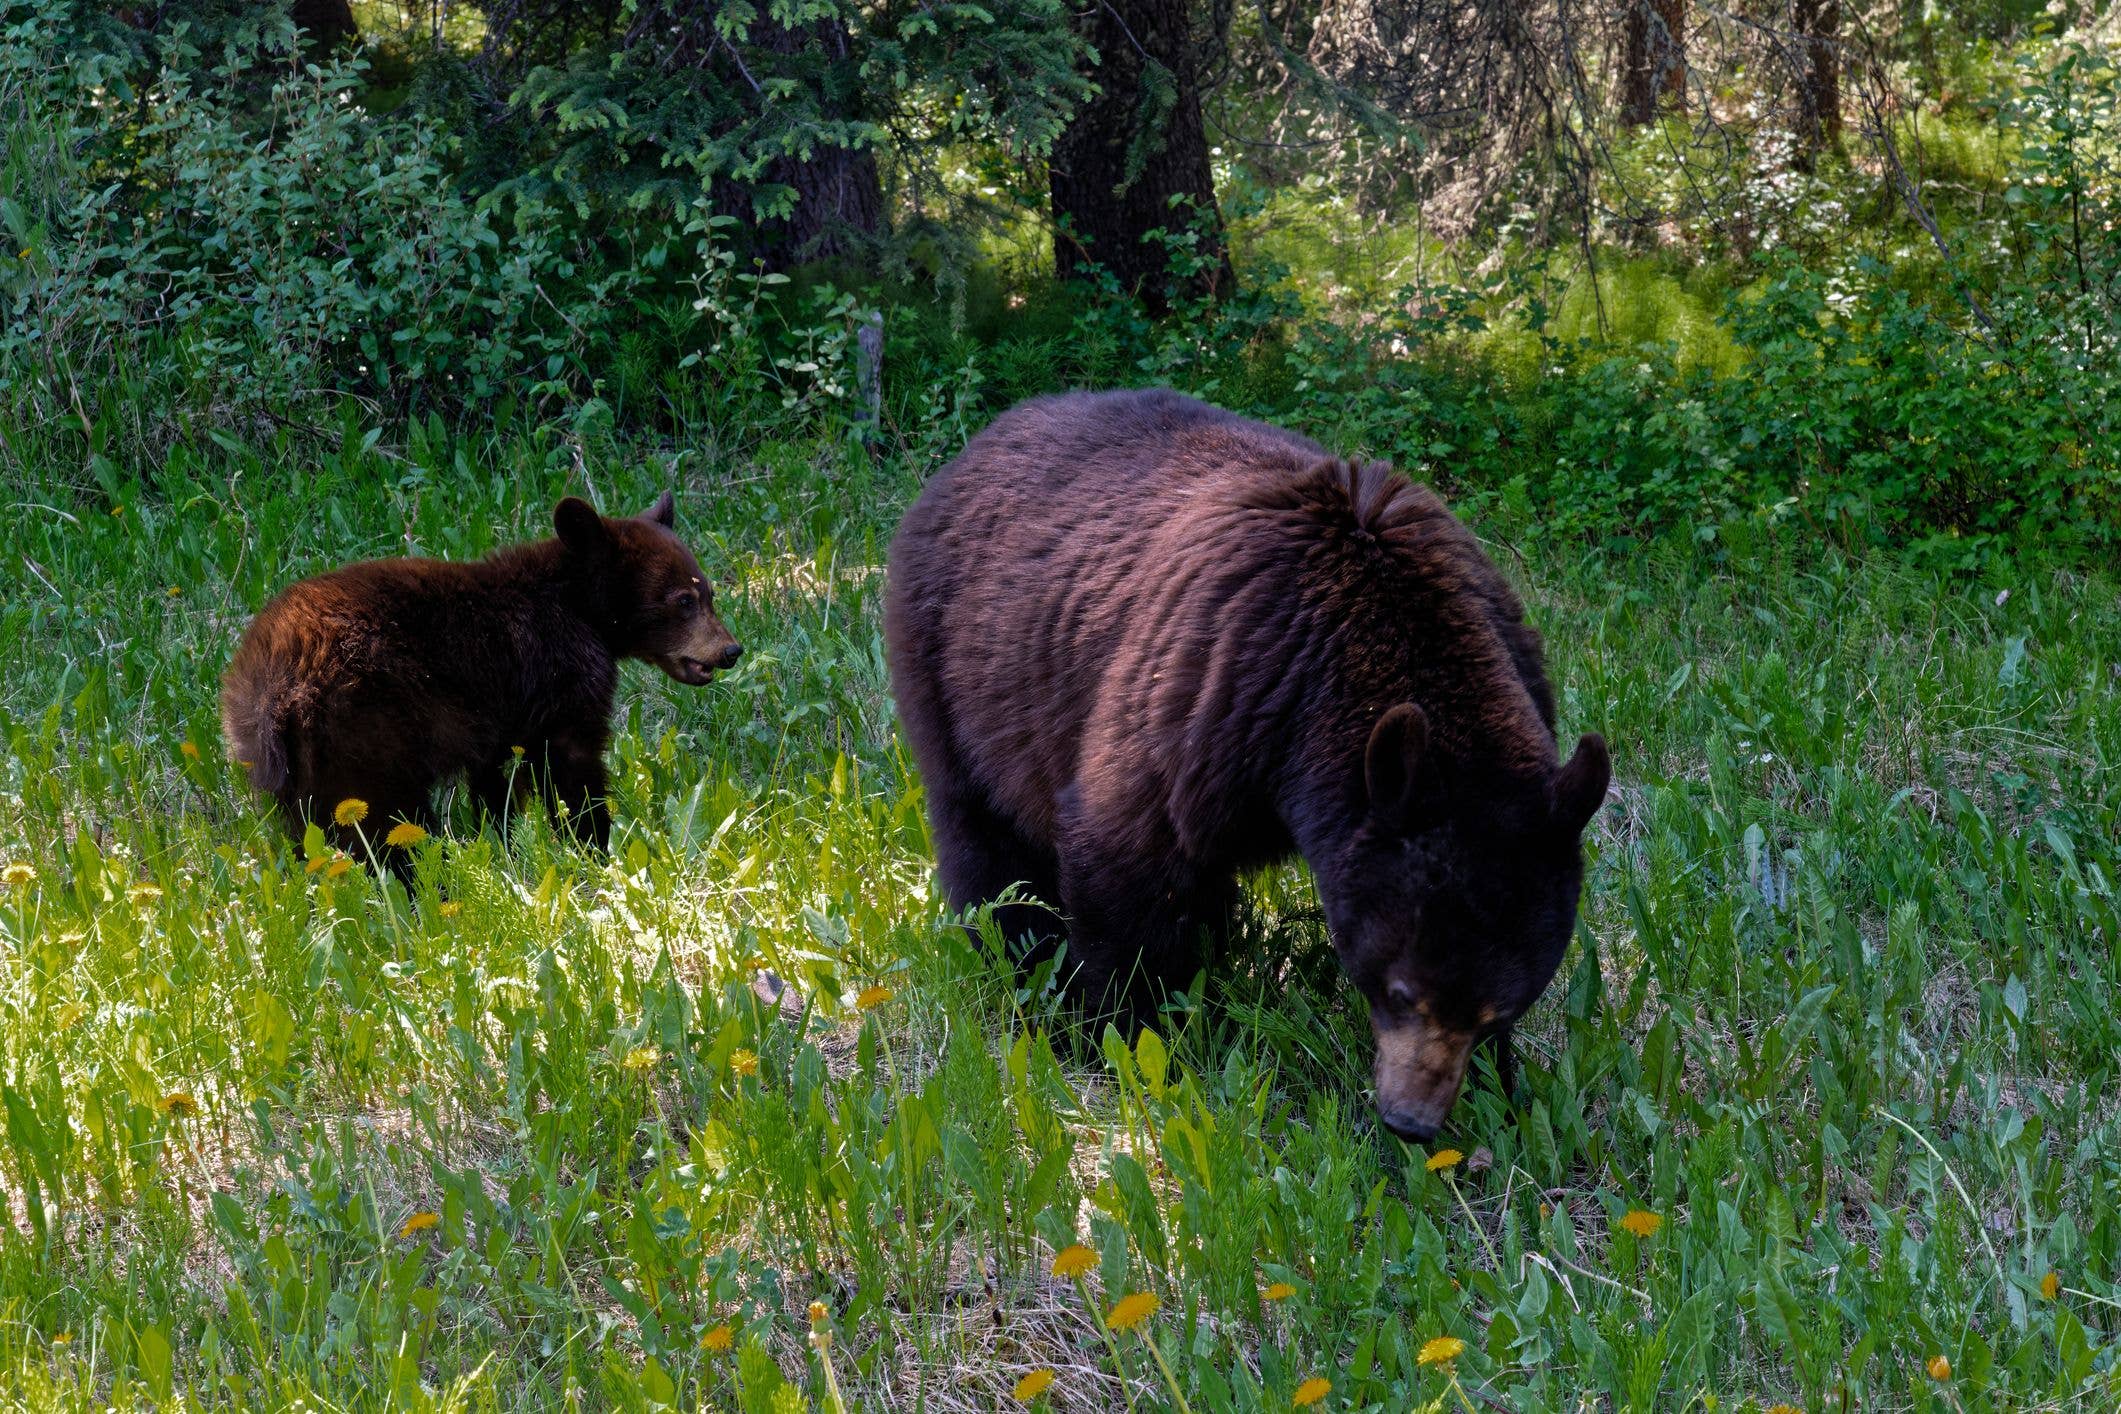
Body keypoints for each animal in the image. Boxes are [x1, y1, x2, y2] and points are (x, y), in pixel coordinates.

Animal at [222, 493, 741, 864]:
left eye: (709, 593)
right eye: (683, 601)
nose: (730, 651)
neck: (577, 607)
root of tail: (274, 688)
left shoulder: (495, 720)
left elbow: (494, 785)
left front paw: (505, 844)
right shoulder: (561, 678)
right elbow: (569, 765)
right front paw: (593, 847)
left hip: (280, 767)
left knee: (307, 831)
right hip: (364, 734)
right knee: (381, 826)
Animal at [883, 389, 1609, 1142]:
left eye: (1501, 1006)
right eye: (1400, 990)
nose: (1411, 1121)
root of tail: (992, 433)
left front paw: (1501, 1087)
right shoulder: (1214, 694)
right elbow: (1127, 859)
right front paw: (1124, 1036)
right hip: (965, 665)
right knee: (987, 840)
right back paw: (1019, 968)